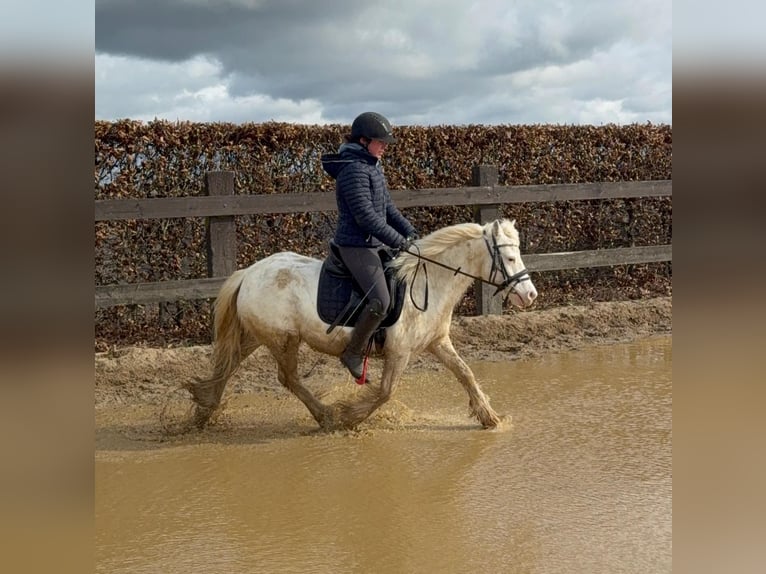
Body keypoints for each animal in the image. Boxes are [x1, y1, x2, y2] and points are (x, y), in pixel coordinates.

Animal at [185, 218, 538, 431]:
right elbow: (384, 391)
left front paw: (490, 418)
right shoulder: (399, 352)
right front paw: (350, 415)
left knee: (229, 364)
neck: (427, 282)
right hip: (283, 340)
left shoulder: (437, 342)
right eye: (509, 259)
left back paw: (203, 409)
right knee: (288, 378)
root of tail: (249, 273)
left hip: (259, 336)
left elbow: (465, 374)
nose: (530, 295)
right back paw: (327, 416)